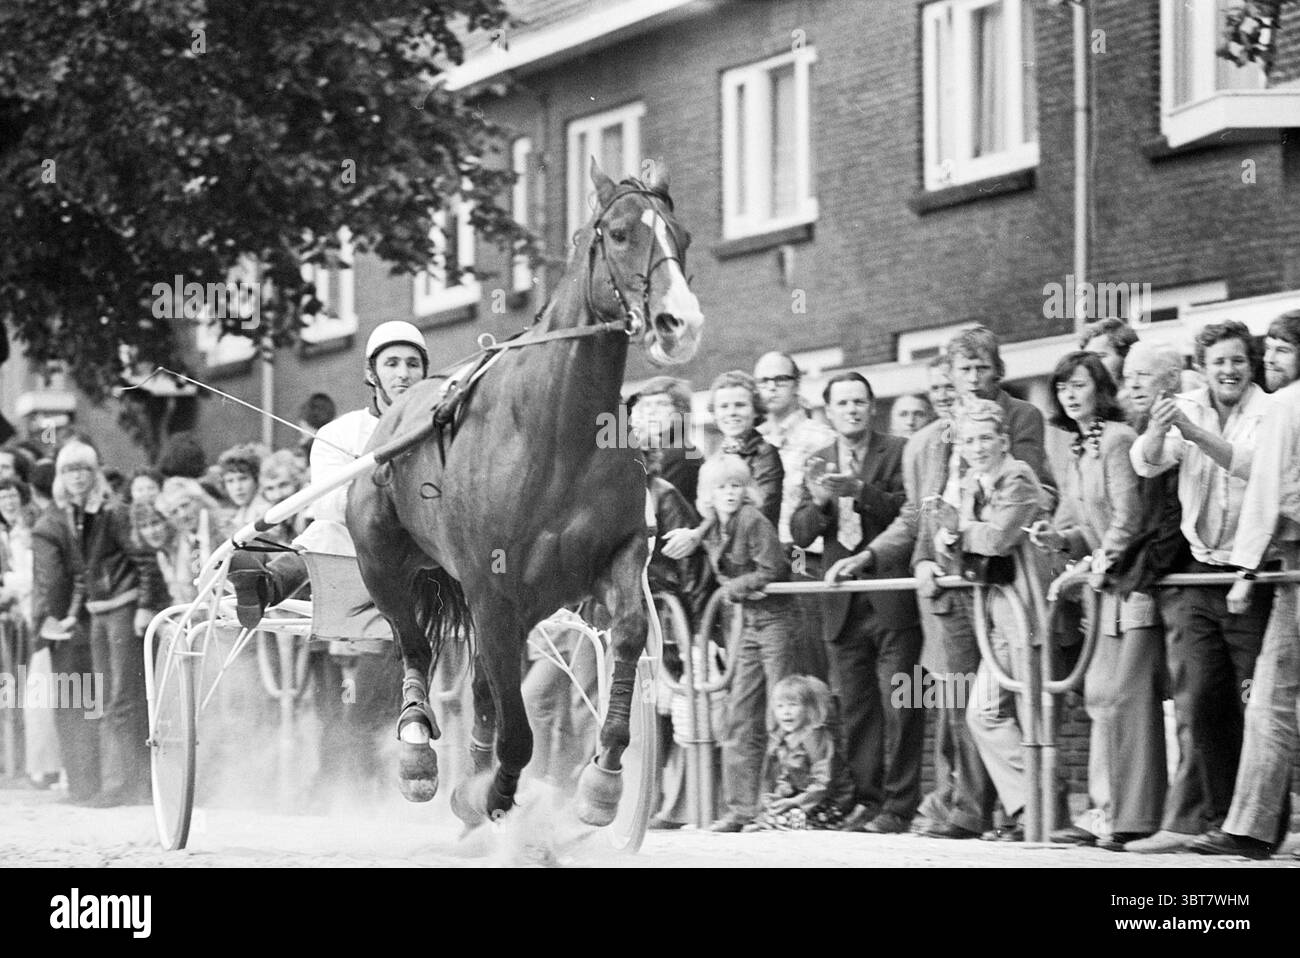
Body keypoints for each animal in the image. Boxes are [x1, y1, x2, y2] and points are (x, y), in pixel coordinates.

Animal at [348, 159, 704, 826]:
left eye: (683, 237)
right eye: (620, 233)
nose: (682, 324)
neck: (558, 432)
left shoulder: (616, 554)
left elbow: (627, 633)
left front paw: (603, 782)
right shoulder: (491, 589)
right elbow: (516, 728)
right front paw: (489, 790)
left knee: (482, 684)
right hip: (382, 563)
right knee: (414, 646)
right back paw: (421, 751)